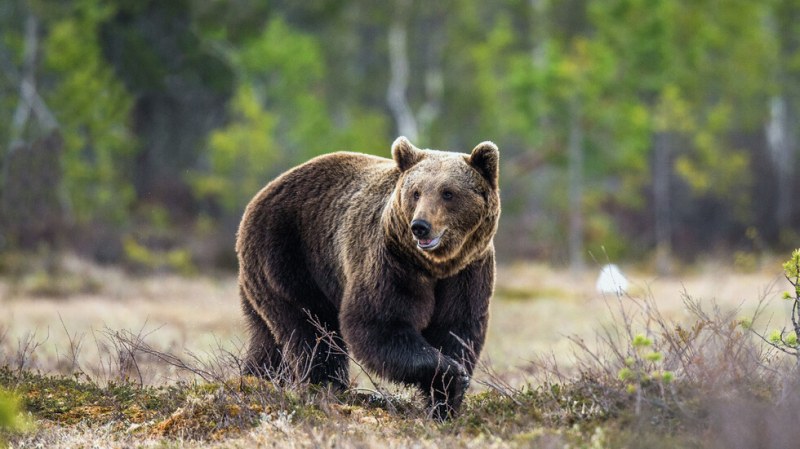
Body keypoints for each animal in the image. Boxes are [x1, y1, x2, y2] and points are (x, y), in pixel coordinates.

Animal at [238, 136, 500, 416]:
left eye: (448, 193)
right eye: (416, 192)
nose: (420, 226)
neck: (435, 265)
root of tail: (258, 197)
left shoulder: (468, 270)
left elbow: (456, 327)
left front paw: (444, 402)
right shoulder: (392, 261)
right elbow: (379, 323)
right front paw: (451, 374)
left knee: (268, 340)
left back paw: (254, 381)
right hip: (288, 257)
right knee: (312, 332)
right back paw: (327, 388)